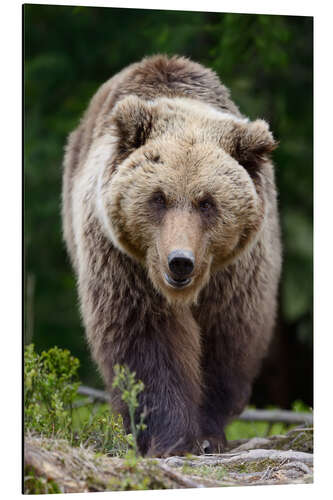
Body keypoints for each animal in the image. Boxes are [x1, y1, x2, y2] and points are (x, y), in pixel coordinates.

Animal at [61, 54, 280, 458]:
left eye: (207, 202)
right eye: (158, 197)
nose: (179, 261)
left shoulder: (236, 274)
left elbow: (224, 340)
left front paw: (208, 435)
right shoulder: (125, 263)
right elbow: (146, 340)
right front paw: (171, 437)